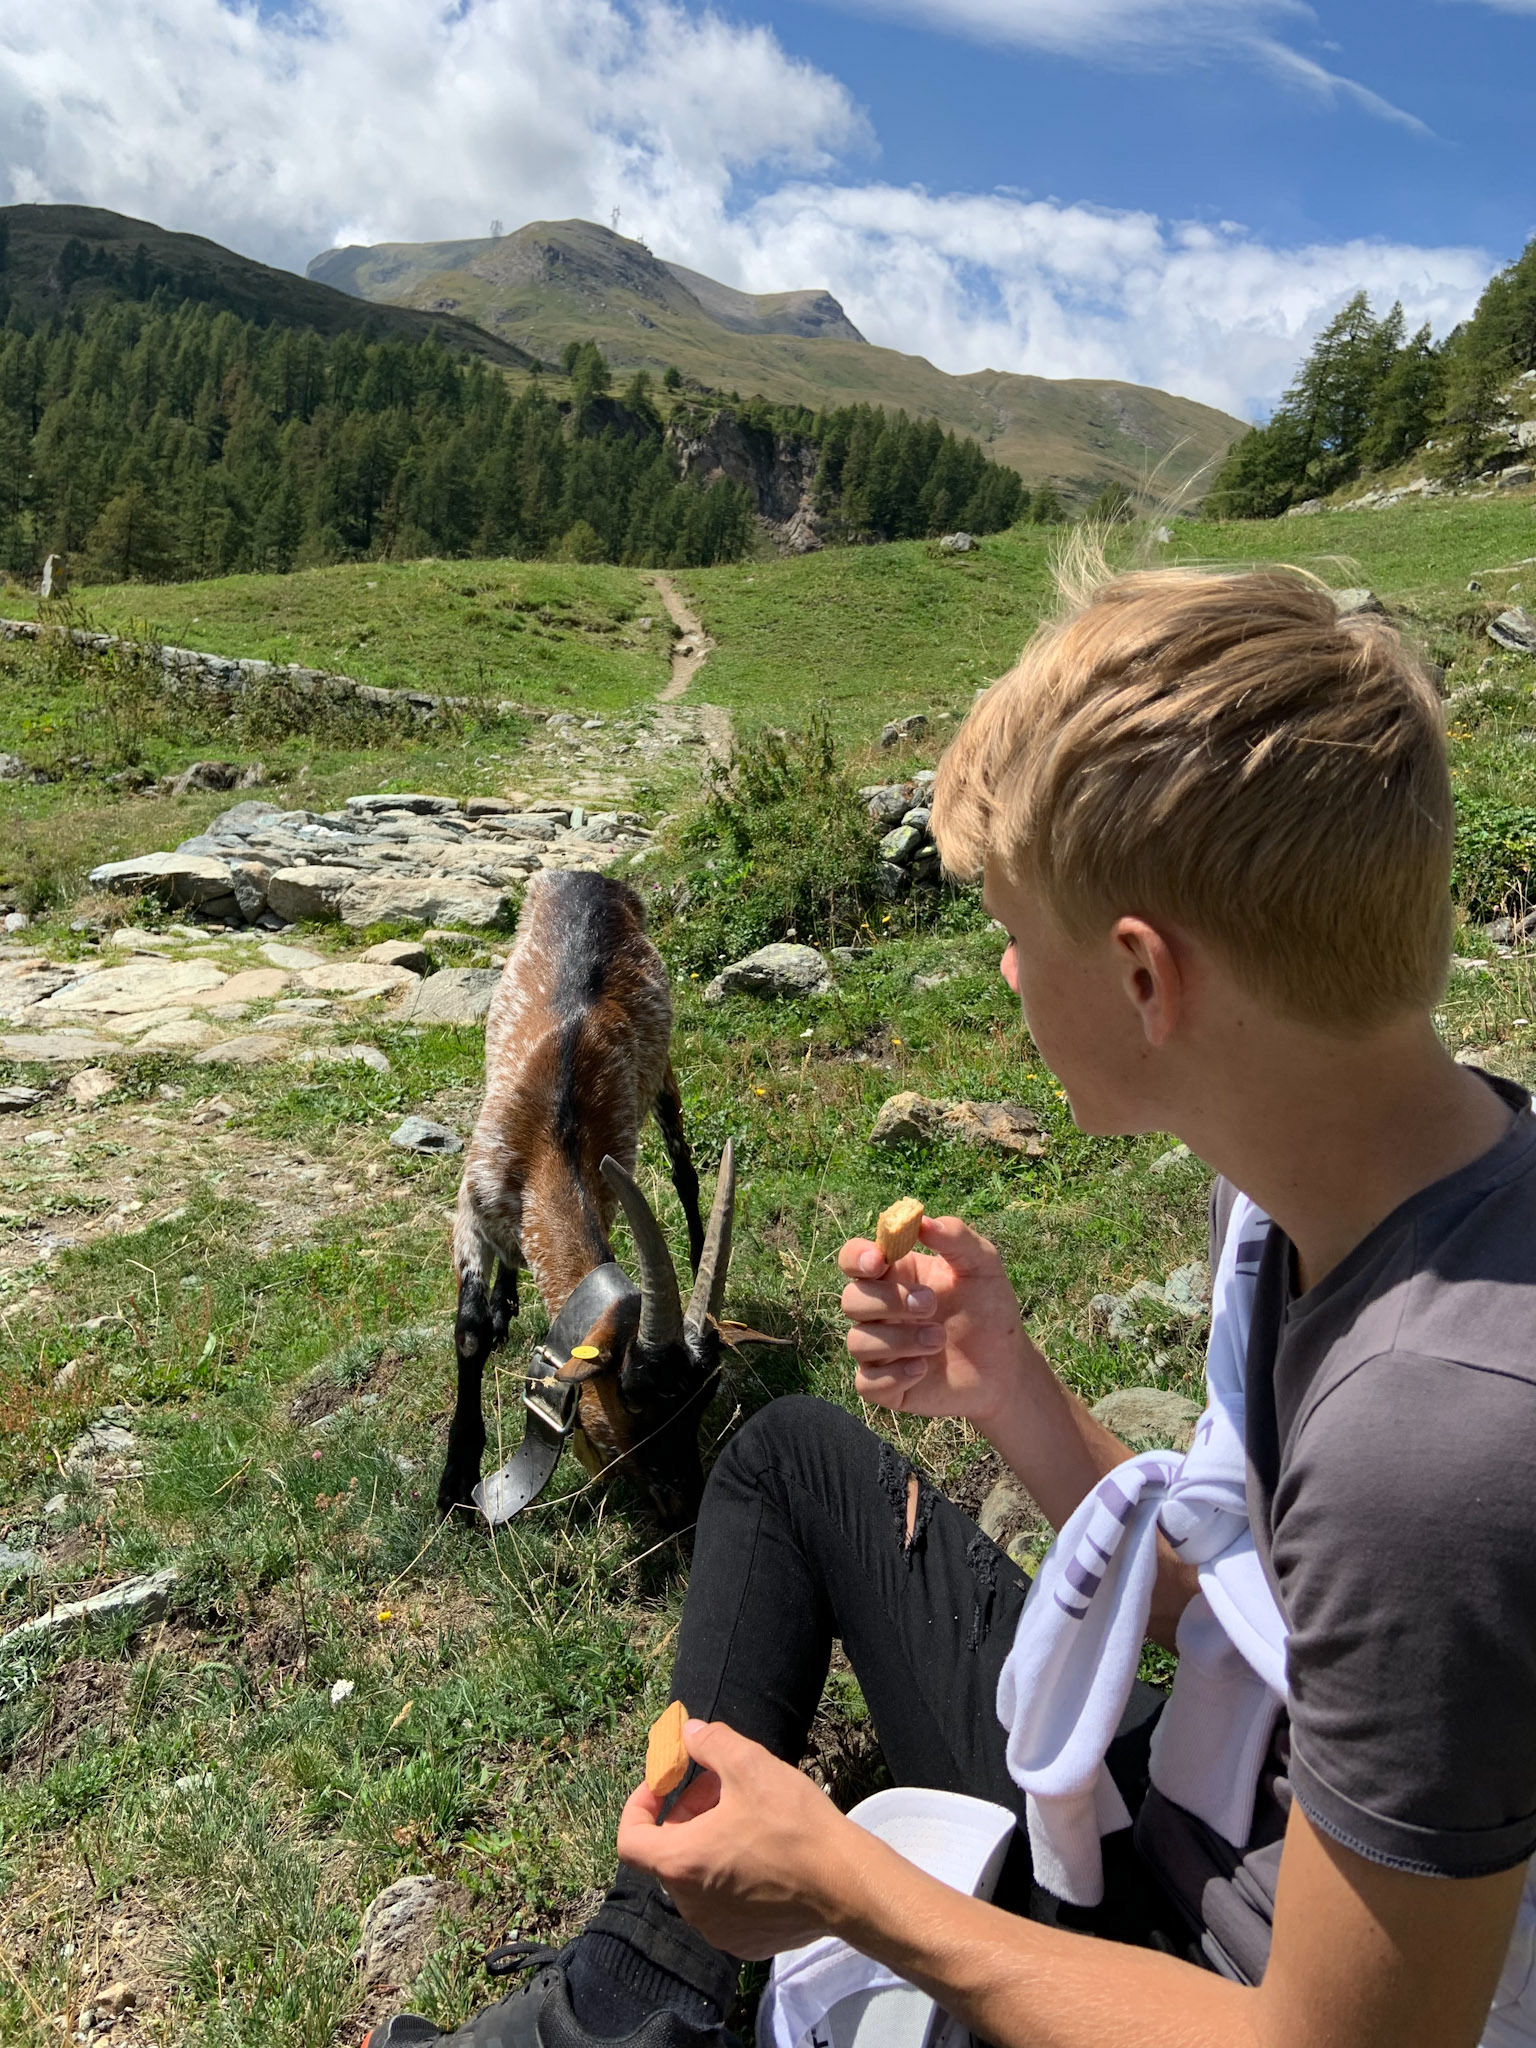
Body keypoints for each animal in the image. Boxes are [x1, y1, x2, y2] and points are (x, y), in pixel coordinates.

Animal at [441, 868, 735, 1531]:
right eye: (633, 1396)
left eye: (706, 1400)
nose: (685, 1504)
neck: (550, 1140)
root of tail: (590, 875)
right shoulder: (473, 1204)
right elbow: (469, 1331)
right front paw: (454, 1485)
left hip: (662, 1068)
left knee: (684, 1170)